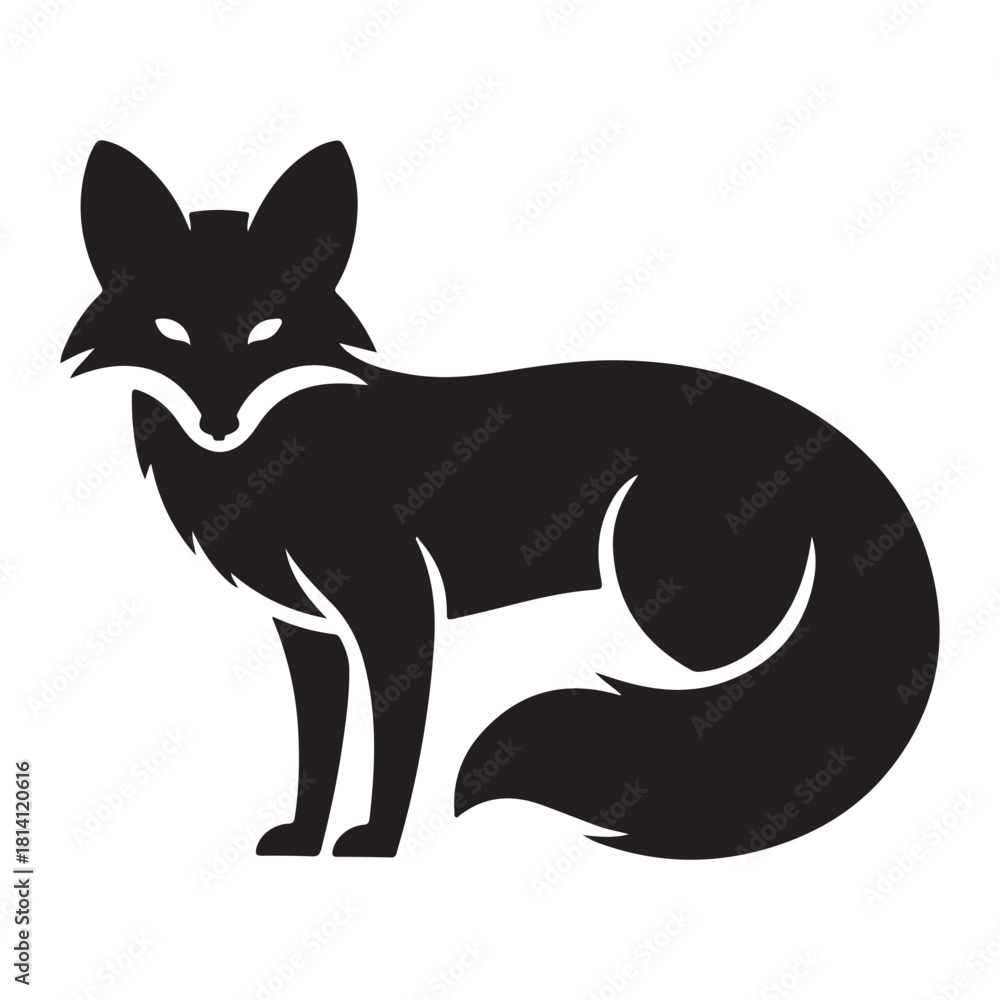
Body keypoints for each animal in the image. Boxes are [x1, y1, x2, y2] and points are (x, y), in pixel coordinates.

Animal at [63, 140, 938, 859]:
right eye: (172, 331)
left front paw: (375, 845)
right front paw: (304, 841)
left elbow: (394, 748)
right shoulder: (306, 632)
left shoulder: (397, 612)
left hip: (675, 604)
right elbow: (320, 751)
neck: (275, 468)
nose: (220, 423)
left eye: (267, 331)